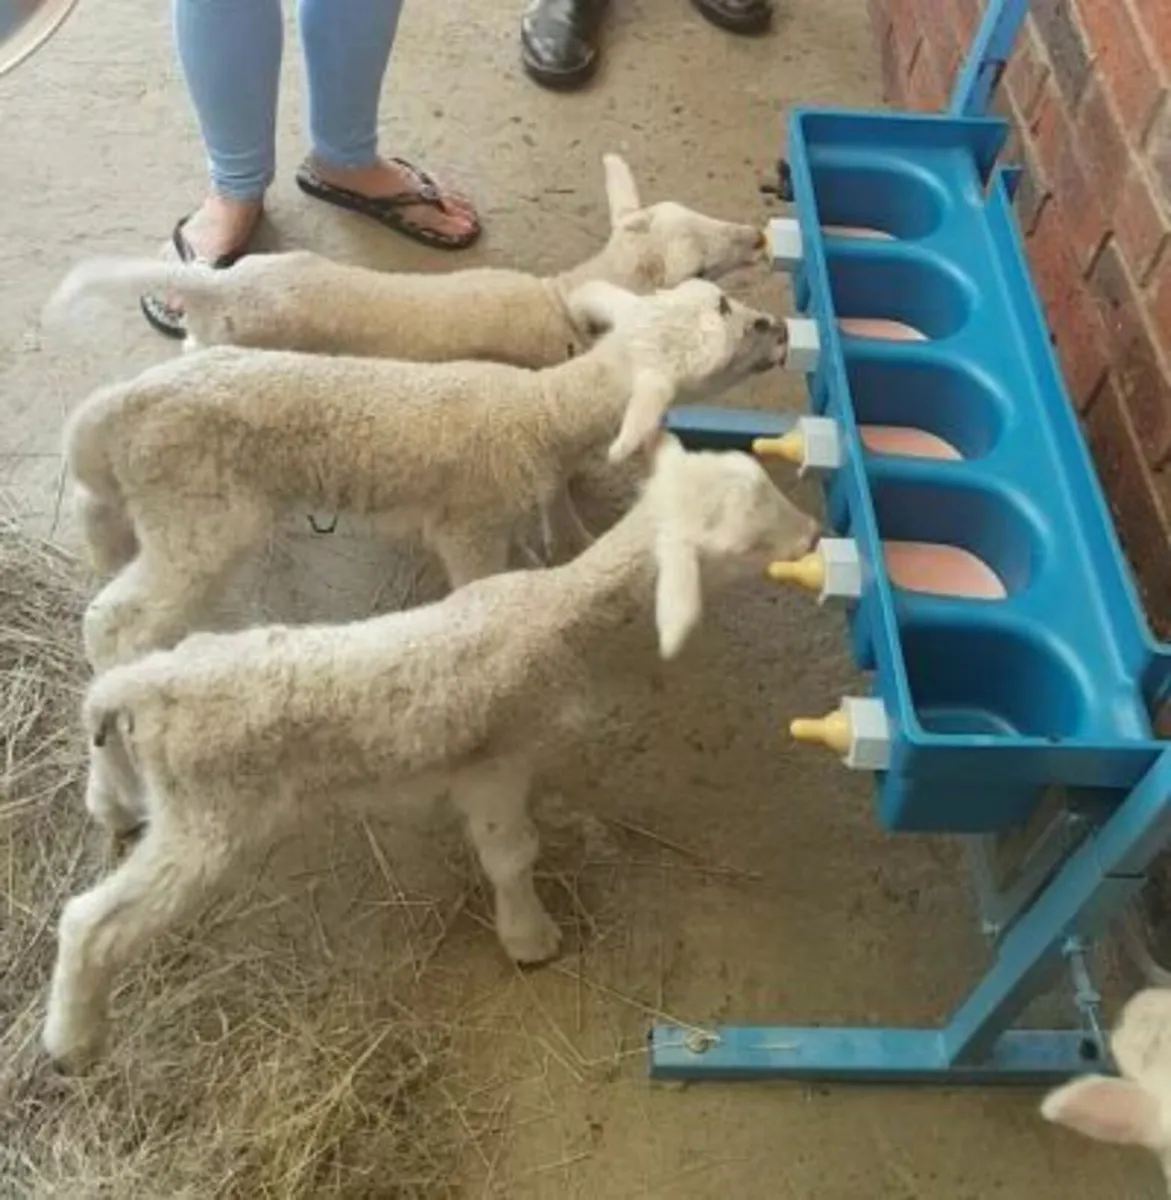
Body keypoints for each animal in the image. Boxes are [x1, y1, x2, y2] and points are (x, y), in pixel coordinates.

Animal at [41, 436, 820, 1075]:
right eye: (750, 537)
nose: (814, 533)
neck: (556, 614)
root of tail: (149, 687)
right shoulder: (494, 763)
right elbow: (510, 855)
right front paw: (530, 938)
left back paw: (113, 803)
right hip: (210, 817)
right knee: (90, 923)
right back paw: (72, 1042)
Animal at [68, 277, 791, 676]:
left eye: (722, 300)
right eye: (733, 330)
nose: (782, 327)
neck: (538, 412)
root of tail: (118, 409)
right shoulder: (468, 527)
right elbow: (479, 591)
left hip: (170, 502)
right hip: (201, 512)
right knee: (111, 620)